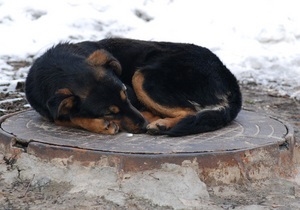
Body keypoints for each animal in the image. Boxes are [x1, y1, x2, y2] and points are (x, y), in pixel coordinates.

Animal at [25, 37, 241, 136]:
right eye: (108, 112)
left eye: (126, 96)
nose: (143, 125)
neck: (57, 67)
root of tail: (228, 76)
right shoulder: (49, 110)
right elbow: (66, 117)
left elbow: (70, 117)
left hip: (142, 77)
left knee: (190, 111)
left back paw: (161, 124)